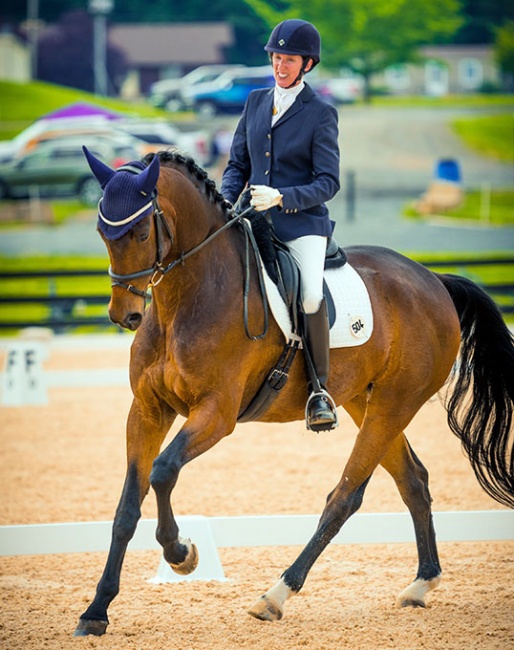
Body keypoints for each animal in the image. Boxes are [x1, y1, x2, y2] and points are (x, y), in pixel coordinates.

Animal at [76, 146, 512, 632]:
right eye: (102, 231)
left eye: (137, 232)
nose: (124, 315)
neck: (188, 297)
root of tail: (434, 280)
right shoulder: (147, 410)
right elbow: (126, 508)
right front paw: (96, 610)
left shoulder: (217, 413)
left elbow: (163, 471)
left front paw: (181, 553)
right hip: (365, 401)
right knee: (413, 480)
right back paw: (421, 584)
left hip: (393, 405)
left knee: (344, 497)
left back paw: (275, 595)